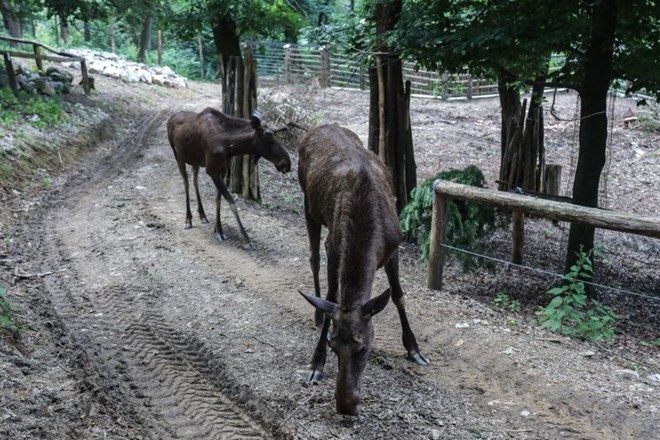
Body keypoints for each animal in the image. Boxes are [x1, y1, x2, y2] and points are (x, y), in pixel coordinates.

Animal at [166, 108, 290, 249]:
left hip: (195, 160)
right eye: (268, 136)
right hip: (178, 156)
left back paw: (202, 214)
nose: (287, 163)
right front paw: (245, 239)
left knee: (194, 178)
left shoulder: (223, 170)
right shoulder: (212, 171)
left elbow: (218, 200)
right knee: (186, 181)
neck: (230, 146)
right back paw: (188, 219)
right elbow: (231, 202)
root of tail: (170, 119)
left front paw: (218, 229)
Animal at [298, 124, 428, 416]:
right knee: (313, 258)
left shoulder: (393, 247)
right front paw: (315, 363)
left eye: (364, 348)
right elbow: (332, 297)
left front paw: (414, 349)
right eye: (333, 345)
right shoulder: (334, 247)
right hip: (307, 202)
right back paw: (316, 312)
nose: (346, 405)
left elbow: (398, 295)